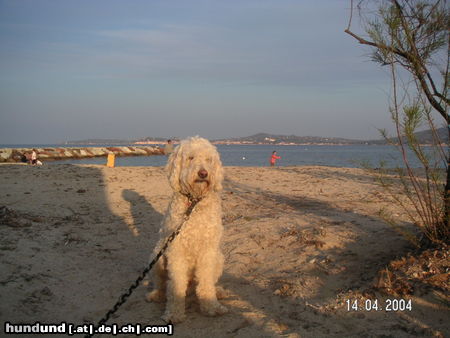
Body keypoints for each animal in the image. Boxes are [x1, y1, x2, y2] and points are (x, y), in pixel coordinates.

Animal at [147, 136, 227, 324]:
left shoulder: (208, 250)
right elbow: (175, 286)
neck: (194, 203)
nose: (203, 173)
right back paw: (156, 295)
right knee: (161, 283)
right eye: (190, 158)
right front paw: (174, 313)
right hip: (157, 257)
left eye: (208, 160)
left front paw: (211, 306)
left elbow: (206, 282)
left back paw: (218, 291)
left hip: (219, 258)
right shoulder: (176, 250)